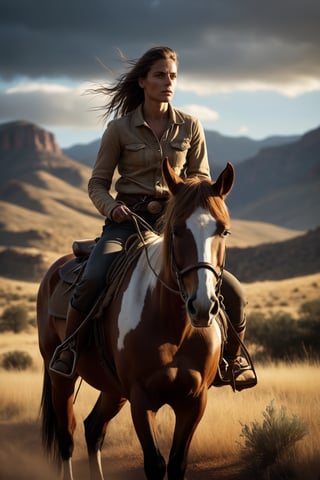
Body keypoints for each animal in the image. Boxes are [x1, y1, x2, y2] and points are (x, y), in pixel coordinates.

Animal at [37, 158, 235, 480]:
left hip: (113, 388)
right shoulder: (141, 401)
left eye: (224, 231)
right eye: (176, 230)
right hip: (61, 379)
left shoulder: (194, 401)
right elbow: (155, 465)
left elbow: (177, 464)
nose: (202, 306)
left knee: (94, 429)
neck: (174, 329)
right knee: (67, 436)